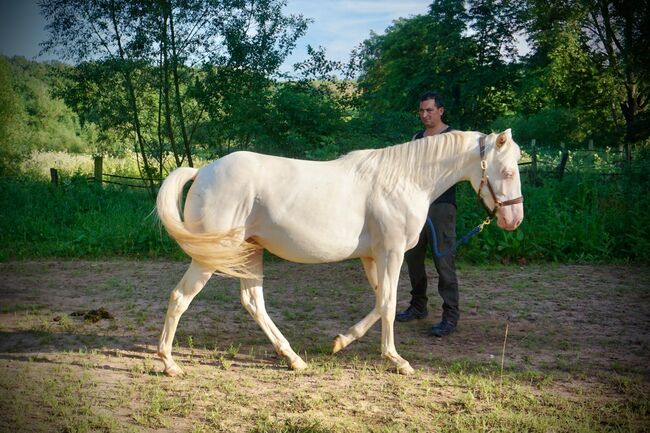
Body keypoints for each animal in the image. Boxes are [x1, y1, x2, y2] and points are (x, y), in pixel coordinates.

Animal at [156, 128, 520, 374]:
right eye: (507, 171)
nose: (513, 219)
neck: (404, 179)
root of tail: (202, 171)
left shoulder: (373, 257)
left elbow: (380, 301)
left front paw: (341, 341)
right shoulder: (392, 253)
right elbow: (388, 304)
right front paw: (397, 360)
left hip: (249, 253)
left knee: (253, 303)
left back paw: (294, 359)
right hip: (210, 256)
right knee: (180, 298)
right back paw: (169, 363)